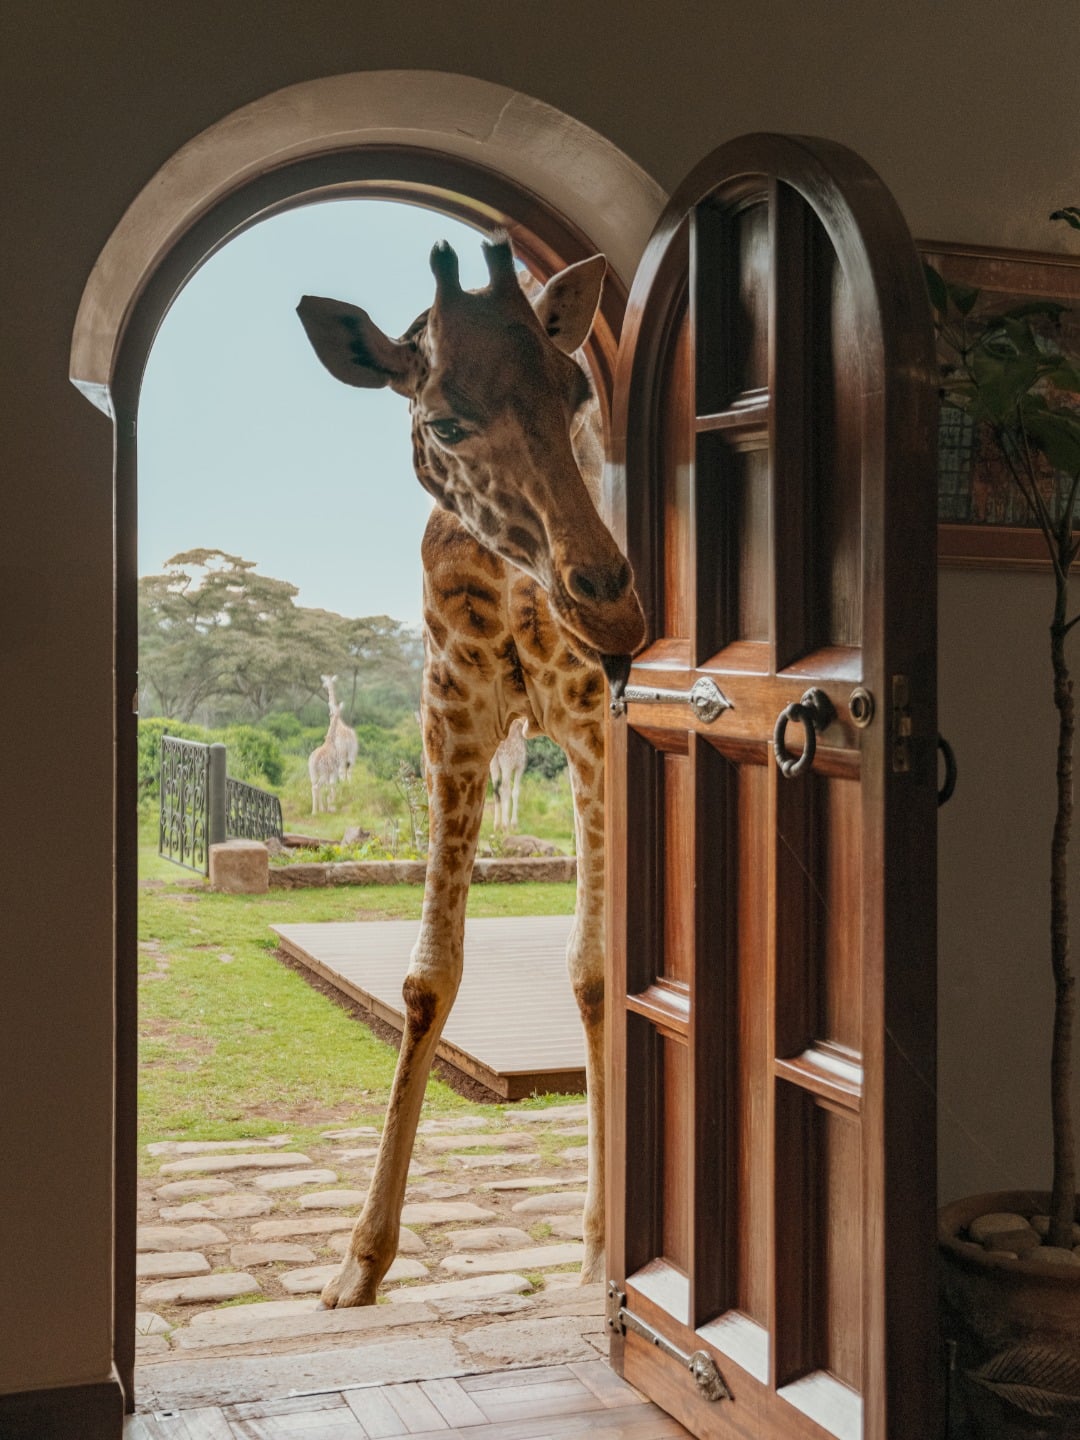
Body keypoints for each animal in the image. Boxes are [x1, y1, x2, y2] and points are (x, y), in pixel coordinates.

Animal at [297, 233, 645, 1308]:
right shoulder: (449, 720)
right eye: (444, 420)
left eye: (576, 393)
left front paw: (597, 1247)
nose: (614, 608)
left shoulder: (589, 725)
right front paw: (358, 1264)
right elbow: (425, 980)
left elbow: (594, 970)